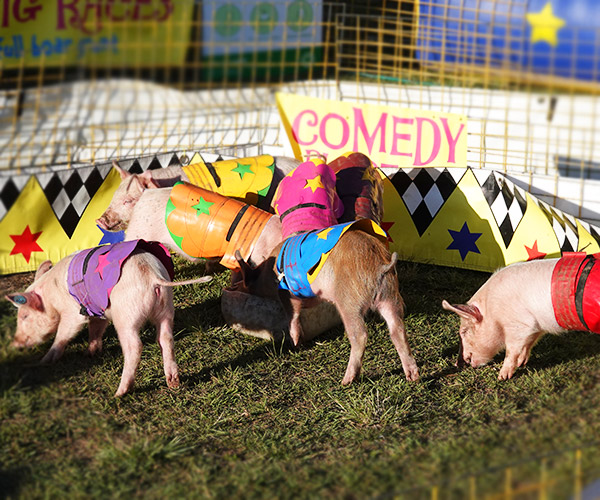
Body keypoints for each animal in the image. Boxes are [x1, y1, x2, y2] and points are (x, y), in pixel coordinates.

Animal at [7, 240, 212, 396]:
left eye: (24, 316)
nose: (15, 343)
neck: (50, 294)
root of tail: (152, 277)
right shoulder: (98, 312)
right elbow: (96, 329)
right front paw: (89, 353)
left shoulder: (72, 312)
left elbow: (63, 334)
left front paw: (44, 361)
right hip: (166, 308)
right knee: (166, 339)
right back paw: (173, 383)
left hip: (126, 314)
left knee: (135, 346)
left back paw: (119, 393)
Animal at [232, 220, 420, 386]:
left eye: (246, 284)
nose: (234, 286)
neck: (268, 274)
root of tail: (381, 265)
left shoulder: (287, 292)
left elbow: (293, 315)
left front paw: (296, 344)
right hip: (390, 296)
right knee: (397, 330)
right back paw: (413, 376)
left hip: (350, 301)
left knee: (359, 335)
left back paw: (346, 381)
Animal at [440, 252, 600, 380]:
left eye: (464, 331)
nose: (457, 364)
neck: (492, 311)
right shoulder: (536, 325)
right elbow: (529, 342)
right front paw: (521, 363)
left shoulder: (519, 324)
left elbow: (512, 349)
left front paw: (502, 377)